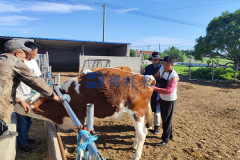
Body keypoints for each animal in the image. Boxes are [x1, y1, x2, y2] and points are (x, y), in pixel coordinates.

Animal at [14, 68, 156, 160]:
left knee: (142, 133)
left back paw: (136, 156)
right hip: (135, 115)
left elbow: (82, 138)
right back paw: (134, 145)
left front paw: (80, 154)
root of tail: (145, 77)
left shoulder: (80, 120)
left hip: (136, 112)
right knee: (140, 131)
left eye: (17, 101)